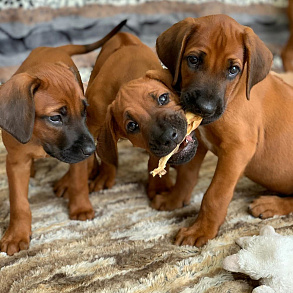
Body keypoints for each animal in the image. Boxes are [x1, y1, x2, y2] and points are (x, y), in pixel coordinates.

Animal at [0, 20, 125, 253]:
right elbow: (19, 202)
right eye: (55, 118)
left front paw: (80, 207)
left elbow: (79, 181)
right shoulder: (16, 162)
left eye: (83, 111)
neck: (39, 140)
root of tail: (55, 48)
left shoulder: (77, 155)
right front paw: (16, 234)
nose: (91, 150)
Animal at [155, 14, 292, 246]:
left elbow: (215, 195)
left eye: (233, 70)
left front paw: (201, 230)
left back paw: (272, 204)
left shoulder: (237, 150)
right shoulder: (199, 142)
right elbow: (186, 175)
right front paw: (174, 199)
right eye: (193, 60)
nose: (204, 108)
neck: (234, 96)